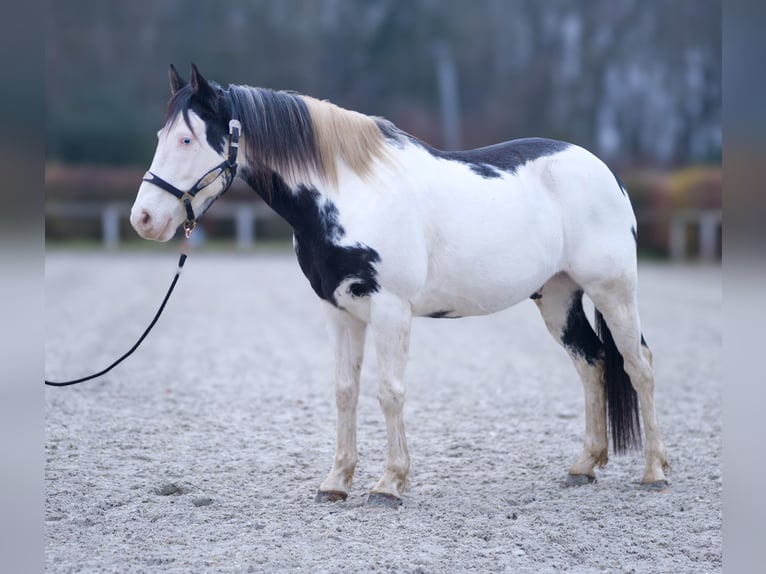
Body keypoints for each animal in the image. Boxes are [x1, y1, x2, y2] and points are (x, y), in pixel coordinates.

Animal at [132, 65, 672, 508]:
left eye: (186, 140)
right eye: (160, 134)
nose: (144, 219)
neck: (349, 192)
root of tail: (604, 171)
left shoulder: (390, 309)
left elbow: (389, 392)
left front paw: (389, 484)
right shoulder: (339, 312)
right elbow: (345, 391)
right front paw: (336, 482)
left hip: (613, 292)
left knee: (639, 366)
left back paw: (654, 473)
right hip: (557, 296)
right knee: (592, 363)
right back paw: (585, 466)